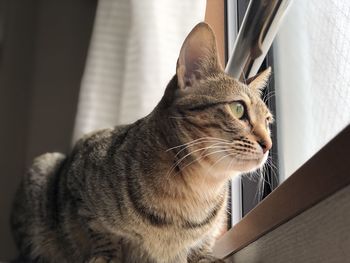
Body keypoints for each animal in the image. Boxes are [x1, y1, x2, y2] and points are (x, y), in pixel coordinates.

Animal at [10, 23, 272, 263]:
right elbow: (101, 233)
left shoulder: (205, 239)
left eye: (268, 121)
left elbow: (202, 252)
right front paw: (106, 256)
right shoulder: (79, 184)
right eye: (238, 109)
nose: (268, 144)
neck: (197, 190)